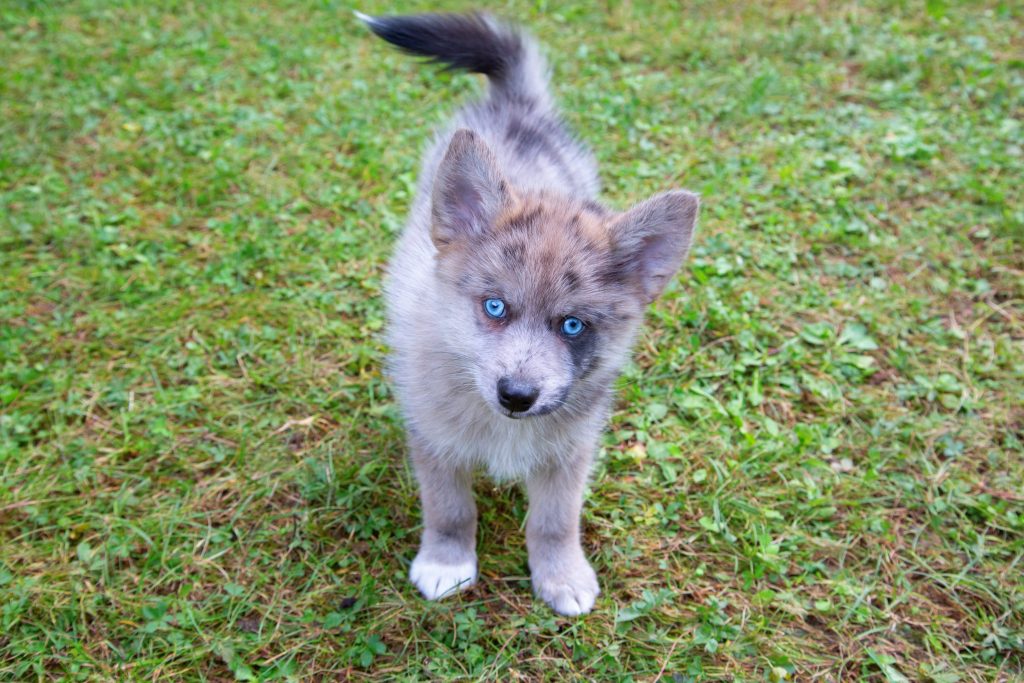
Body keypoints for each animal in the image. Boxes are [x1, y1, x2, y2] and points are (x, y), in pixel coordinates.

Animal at [356, 13, 700, 618]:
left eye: (573, 325)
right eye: (495, 306)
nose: (517, 396)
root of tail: (518, 106)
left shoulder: (569, 454)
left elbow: (555, 521)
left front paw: (561, 575)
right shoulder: (435, 442)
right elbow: (450, 509)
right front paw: (447, 563)